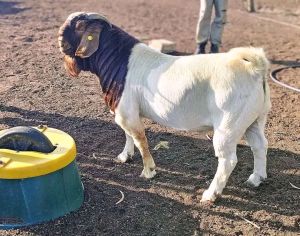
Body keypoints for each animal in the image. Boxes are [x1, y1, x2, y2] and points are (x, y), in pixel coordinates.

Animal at [58, 12, 272, 202]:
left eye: (77, 26)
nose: (59, 39)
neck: (120, 62)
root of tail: (254, 67)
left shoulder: (128, 113)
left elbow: (140, 140)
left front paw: (148, 171)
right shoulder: (126, 111)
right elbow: (128, 135)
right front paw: (125, 156)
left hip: (228, 125)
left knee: (228, 160)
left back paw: (211, 195)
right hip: (254, 119)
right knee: (260, 145)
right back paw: (256, 179)